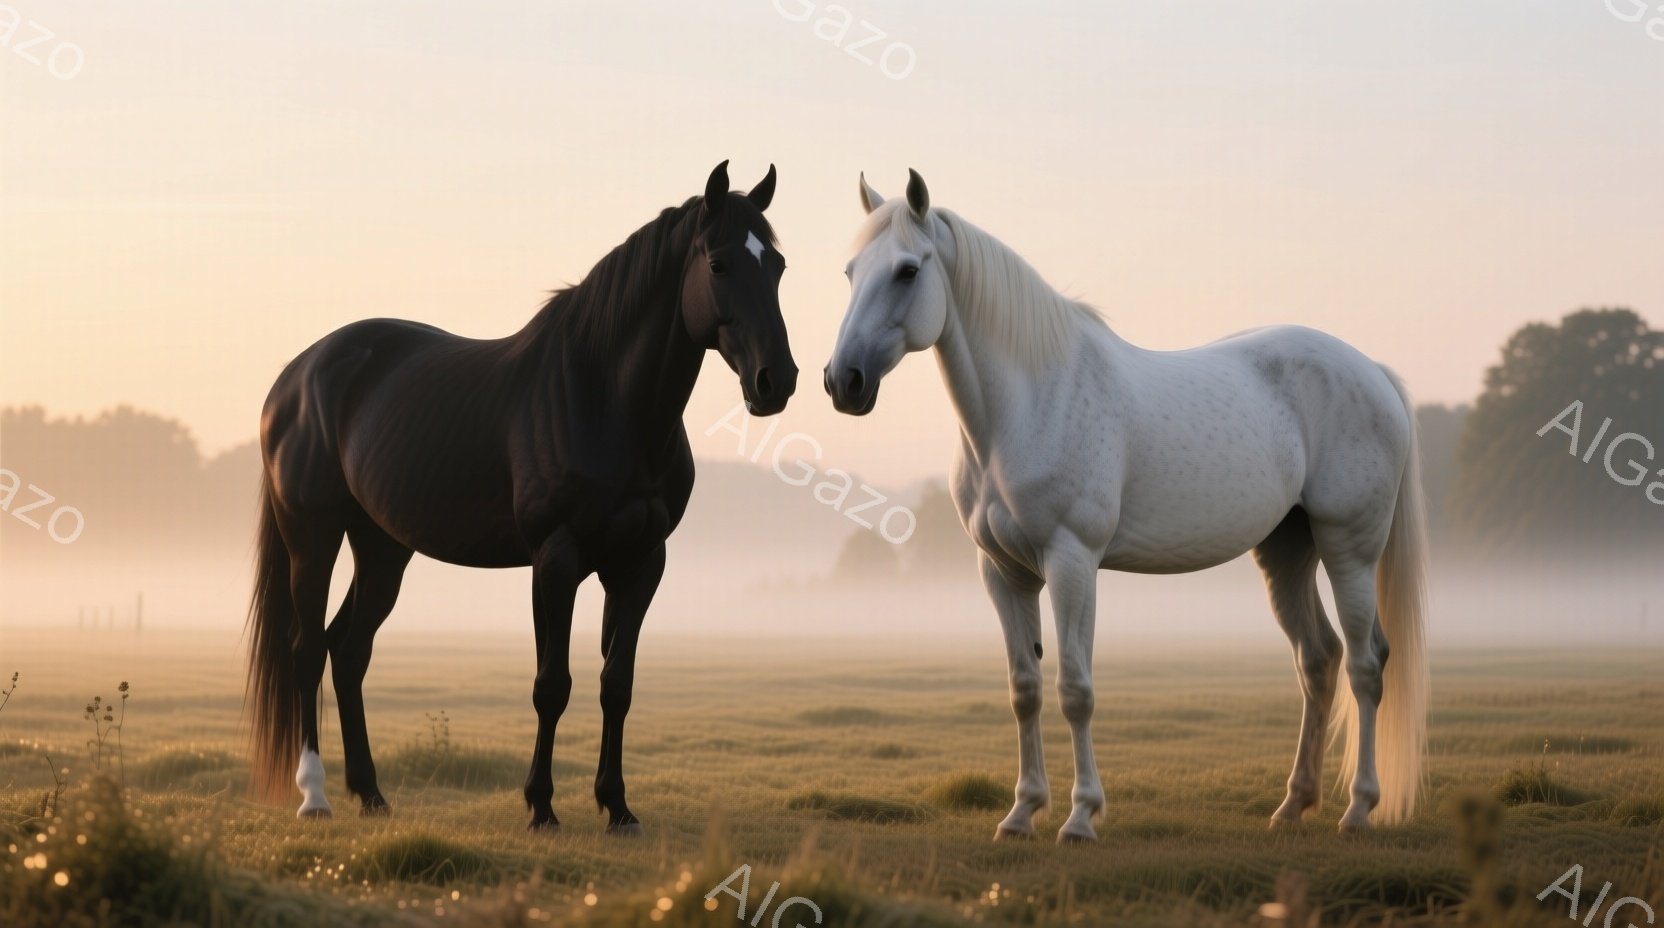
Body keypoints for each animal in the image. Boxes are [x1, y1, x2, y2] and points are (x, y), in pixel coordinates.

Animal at [246, 161, 796, 833]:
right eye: (718, 264)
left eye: (777, 264)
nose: (776, 381)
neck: (604, 399)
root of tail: (295, 377)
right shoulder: (555, 559)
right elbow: (551, 684)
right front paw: (541, 807)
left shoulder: (641, 562)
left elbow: (617, 684)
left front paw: (617, 807)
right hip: (313, 537)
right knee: (305, 651)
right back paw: (316, 797)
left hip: (382, 547)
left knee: (347, 652)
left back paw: (372, 794)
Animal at [825, 171, 1428, 842]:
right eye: (851, 270)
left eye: (907, 271)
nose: (842, 380)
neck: (1031, 402)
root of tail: (1371, 371)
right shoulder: (1002, 572)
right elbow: (1025, 689)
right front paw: (1021, 813)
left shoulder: (1072, 562)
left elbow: (1075, 689)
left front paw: (1080, 817)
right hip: (1286, 552)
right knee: (1318, 661)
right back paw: (1293, 804)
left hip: (1349, 549)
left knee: (1365, 666)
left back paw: (1358, 809)